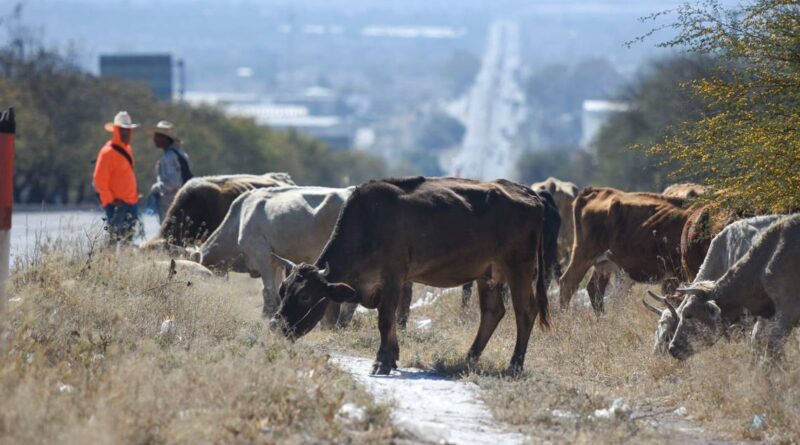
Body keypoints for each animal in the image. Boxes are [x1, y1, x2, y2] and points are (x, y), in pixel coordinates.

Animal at [268, 177, 552, 374]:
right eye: (283, 290)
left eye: (305, 296)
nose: (276, 326)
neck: (369, 221)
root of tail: (525, 191)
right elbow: (393, 319)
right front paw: (392, 357)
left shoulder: (393, 276)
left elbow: (385, 318)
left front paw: (381, 362)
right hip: (488, 275)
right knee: (492, 312)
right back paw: (469, 358)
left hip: (519, 267)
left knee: (525, 311)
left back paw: (514, 365)